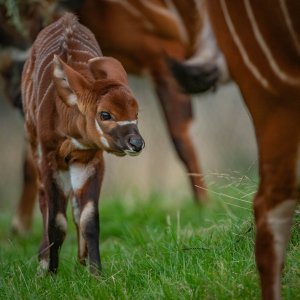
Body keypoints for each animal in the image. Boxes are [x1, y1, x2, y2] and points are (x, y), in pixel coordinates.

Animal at [21, 12, 145, 274]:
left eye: (136, 113)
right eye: (105, 114)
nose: (137, 143)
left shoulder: (90, 159)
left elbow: (89, 218)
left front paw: (96, 273)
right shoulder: (50, 158)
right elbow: (56, 220)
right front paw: (51, 273)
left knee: (76, 207)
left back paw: (80, 259)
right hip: (34, 144)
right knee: (43, 199)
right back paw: (43, 261)